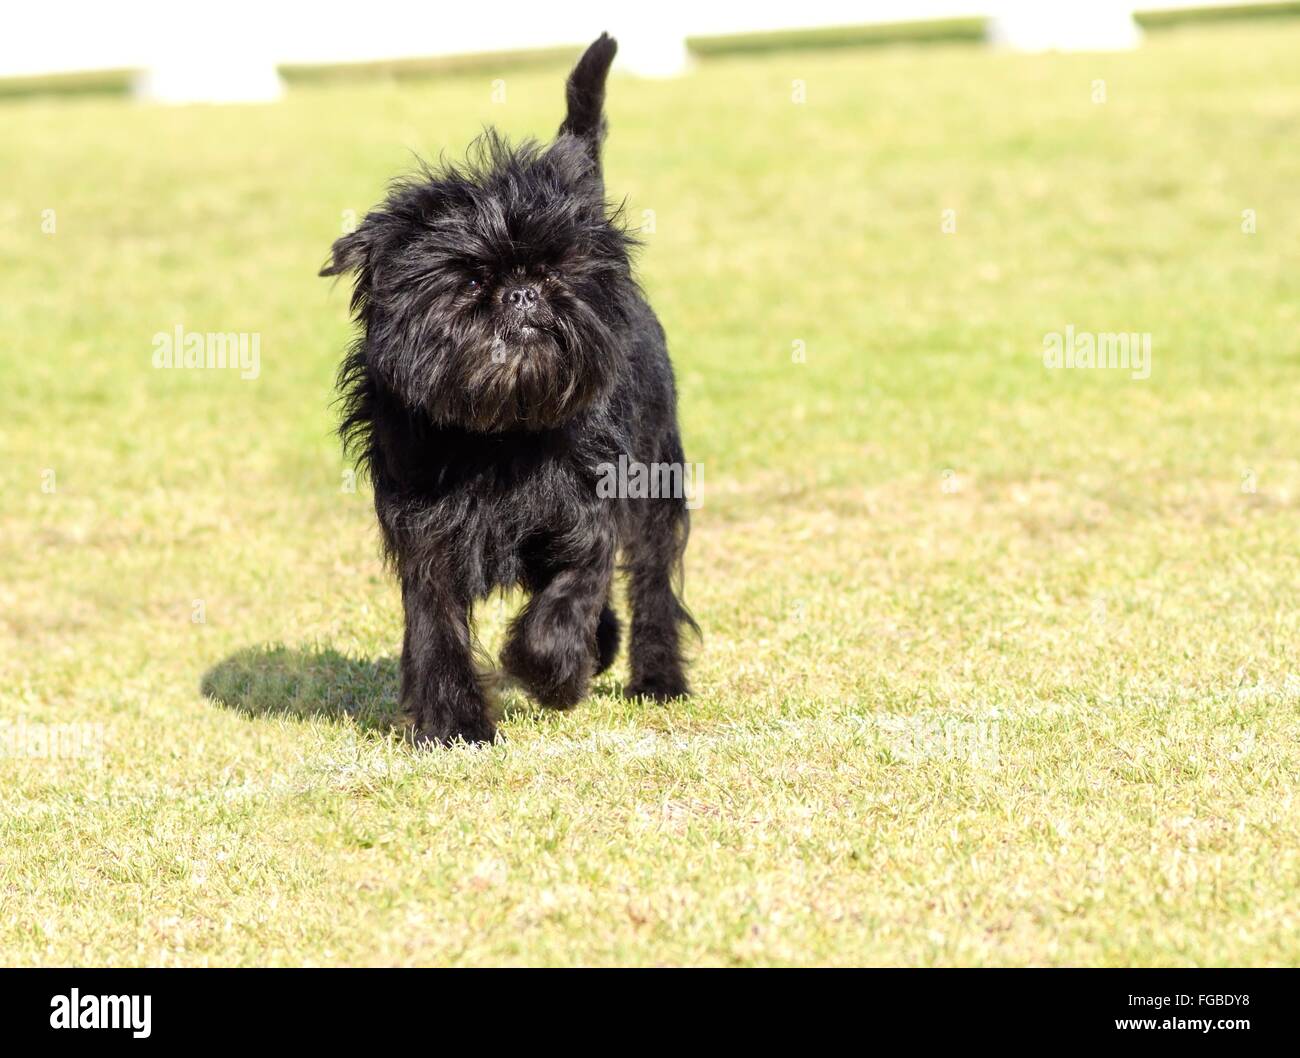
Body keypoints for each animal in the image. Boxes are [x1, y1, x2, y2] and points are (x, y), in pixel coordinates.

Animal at [321, 33, 696, 743]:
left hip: (658, 472)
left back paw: (655, 677)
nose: (522, 293)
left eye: (554, 272)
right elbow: (436, 626)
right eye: (470, 281)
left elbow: (572, 595)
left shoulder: (590, 510)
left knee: (652, 579)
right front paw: (455, 725)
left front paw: (549, 672)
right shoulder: (425, 534)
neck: (499, 432)